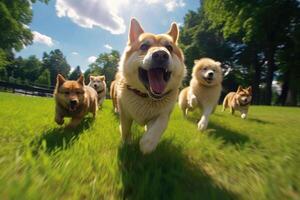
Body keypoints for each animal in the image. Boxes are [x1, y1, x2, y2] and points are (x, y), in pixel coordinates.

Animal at [113, 18, 186, 154]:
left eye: (169, 47)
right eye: (144, 46)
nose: (161, 54)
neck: (146, 97)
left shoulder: (165, 113)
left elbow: (159, 126)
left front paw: (147, 144)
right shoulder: (125, 113)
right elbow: (125, 129)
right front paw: (126, 143)